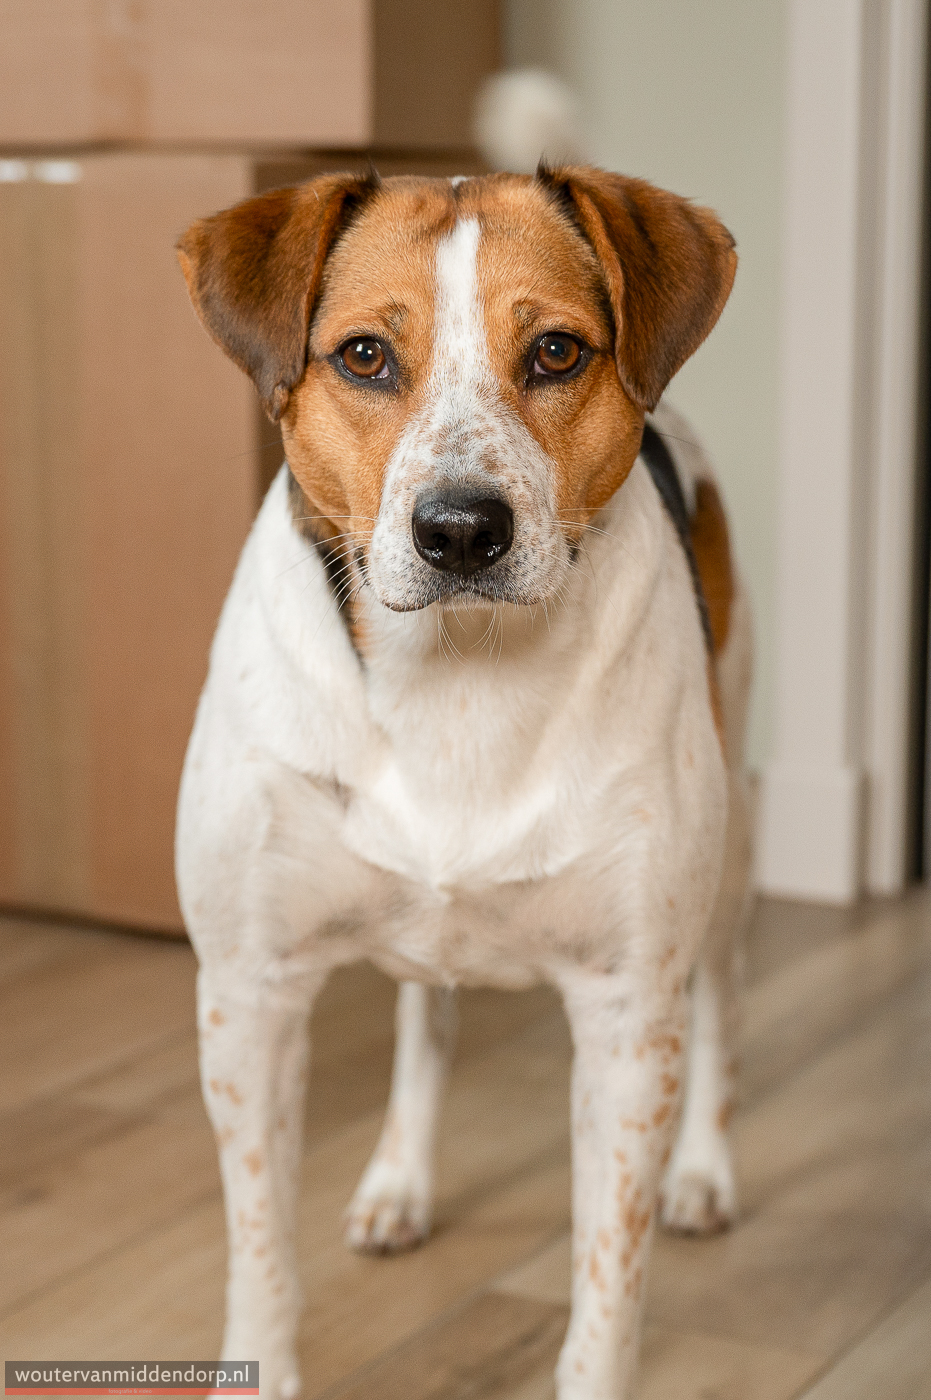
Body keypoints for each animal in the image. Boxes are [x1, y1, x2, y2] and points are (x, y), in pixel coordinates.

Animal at [174, 166, 750, 1400]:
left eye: (556, 353)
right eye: (362, 357)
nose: (459, 530)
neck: (458, 673)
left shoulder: (627, 1016)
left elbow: (606, 1290)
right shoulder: (249, 994)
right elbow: (260, 1251)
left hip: (730, 849)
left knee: (723, 993)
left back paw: (704, 1173)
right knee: (423, 1017)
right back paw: (400, 1180)